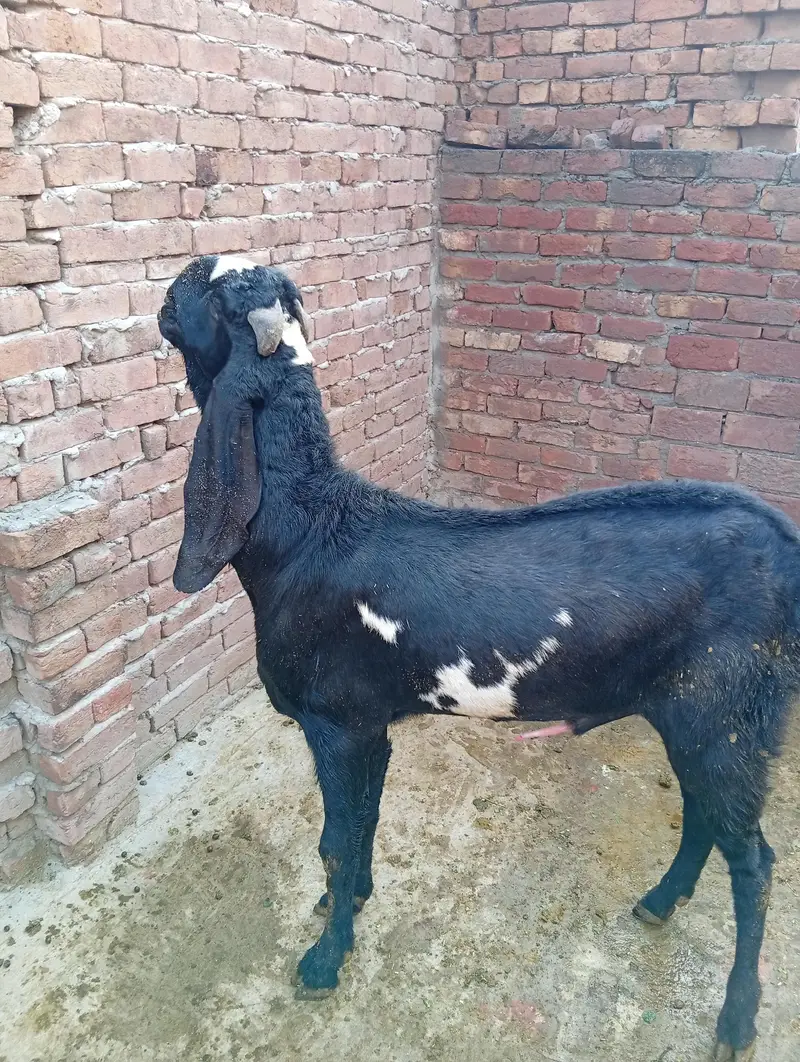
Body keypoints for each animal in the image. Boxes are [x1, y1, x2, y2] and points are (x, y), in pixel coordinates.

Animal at [158, 255, 800, 1062]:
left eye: (202, 286)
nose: (165, 293)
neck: (307, 529)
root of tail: (782, 540)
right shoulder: (371, 725)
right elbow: (364, 820)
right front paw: (351, 903)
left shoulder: (335, 721)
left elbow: (334, 839)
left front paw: (325, 960)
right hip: (694, 712)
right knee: (702, 815)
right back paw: (659, 902)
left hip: (730, 712)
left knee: (755, 861)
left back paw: (736, 1019)